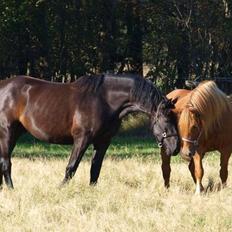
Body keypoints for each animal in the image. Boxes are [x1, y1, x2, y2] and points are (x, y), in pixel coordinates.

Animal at [0, 74, 179, 188]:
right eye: (166, 119)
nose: (175, 148)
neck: (104, 100)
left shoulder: (103, 141)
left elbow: (95, 169)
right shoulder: (82, 139)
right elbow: (71, 167)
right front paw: (60, 189)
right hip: (7, 132)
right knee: (6, 163)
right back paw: (11, 189)